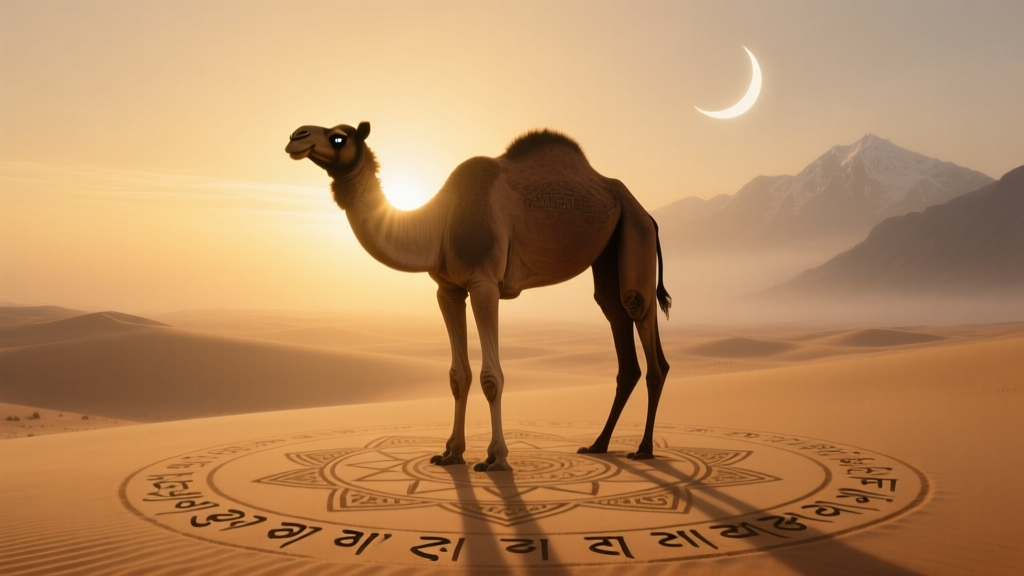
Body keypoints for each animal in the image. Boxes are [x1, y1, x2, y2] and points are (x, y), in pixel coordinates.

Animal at [285, 122, 671, 472]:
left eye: (339, 136)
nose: (296, 136)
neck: (439, 222)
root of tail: (648, 214)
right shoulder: (448, 289)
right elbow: (459, 376)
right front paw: (451, 454)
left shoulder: (485, 283)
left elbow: (491, 377)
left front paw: (496, 458)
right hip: (609, 250)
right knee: (615, 317)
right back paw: (598, 444)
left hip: (634, 232)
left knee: (640, 316)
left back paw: (644, 449)